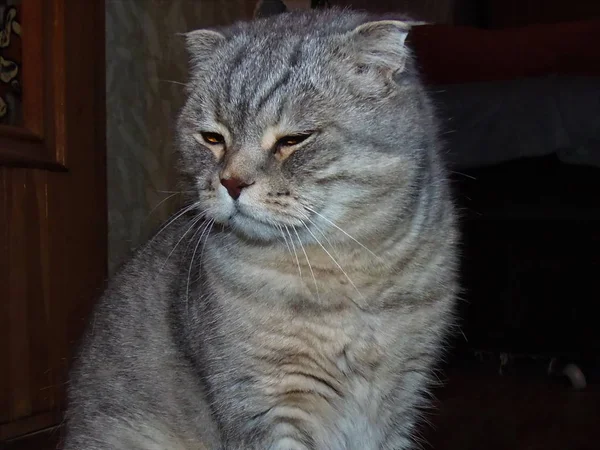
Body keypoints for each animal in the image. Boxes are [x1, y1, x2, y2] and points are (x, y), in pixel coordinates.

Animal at [64, 7, 460, 450]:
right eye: (212, 137)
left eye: (294, 139)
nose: (231, 182)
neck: (344, 276)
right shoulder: (263, 405)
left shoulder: (402, 400)